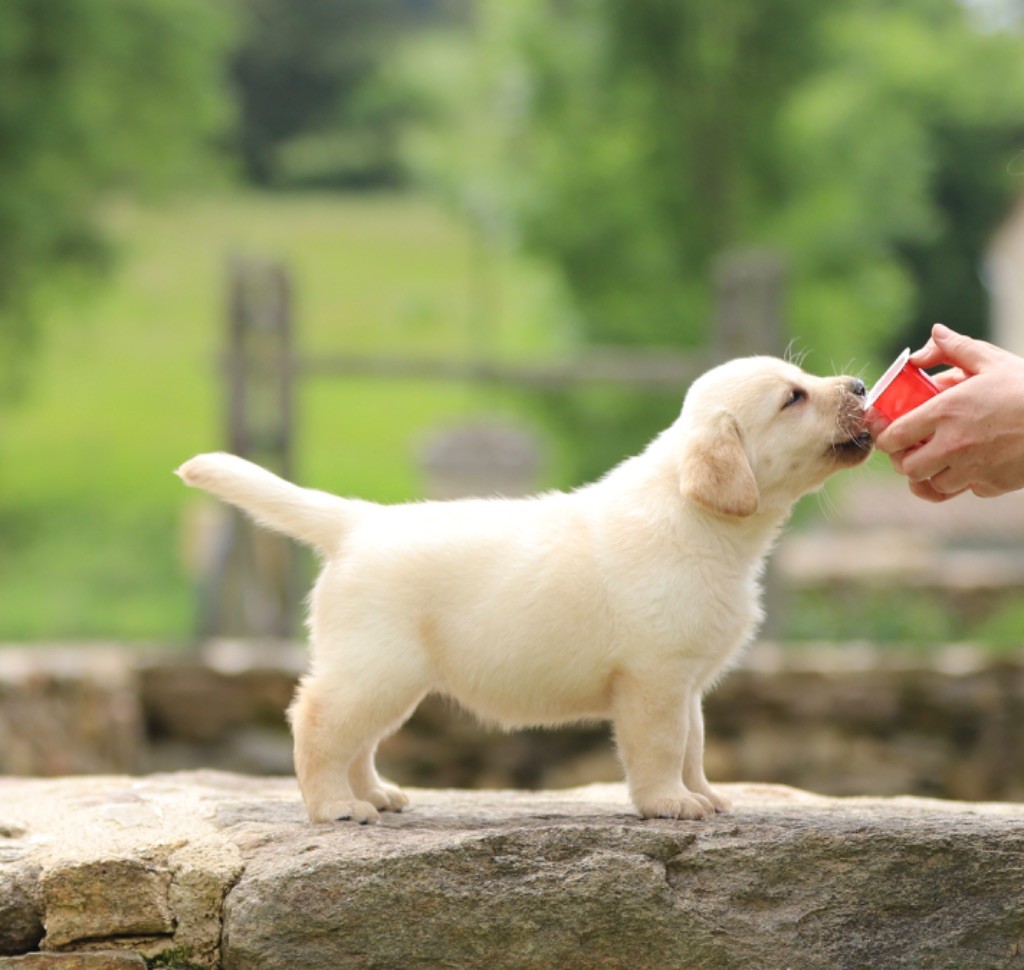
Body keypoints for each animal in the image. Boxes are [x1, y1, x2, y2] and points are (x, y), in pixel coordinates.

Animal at [177, 356, 871, 824]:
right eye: (793, 397)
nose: (862, 387)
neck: (701, 520)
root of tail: (358, 522)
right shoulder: (655, 678)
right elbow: (663, 746)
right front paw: (669, 803)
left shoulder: (689, 682)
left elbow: (694, 746)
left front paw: (702, 794)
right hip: (377, 666)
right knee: (317, 721)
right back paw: (334, 807)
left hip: (389, 674)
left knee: (358, 739)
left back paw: (373, 793)